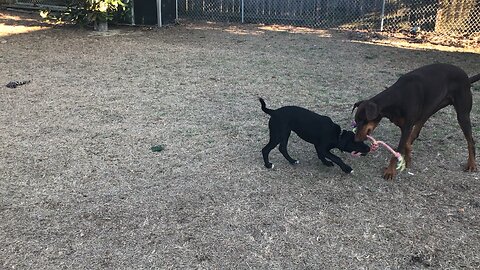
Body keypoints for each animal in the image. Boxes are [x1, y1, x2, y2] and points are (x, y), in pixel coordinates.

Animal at [352, 62, 480, 178]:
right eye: (356, 121)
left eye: (364, 120)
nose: (356, 140)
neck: (398, 97)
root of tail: (466, 76)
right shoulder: (404, 126)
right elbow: (406, 144)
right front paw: (408, 159)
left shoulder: (407, 126)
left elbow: (399, 150)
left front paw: (390, 171)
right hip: (430, 108)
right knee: (418, 129)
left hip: (462, 115)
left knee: (471, 141)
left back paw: (472, 164)